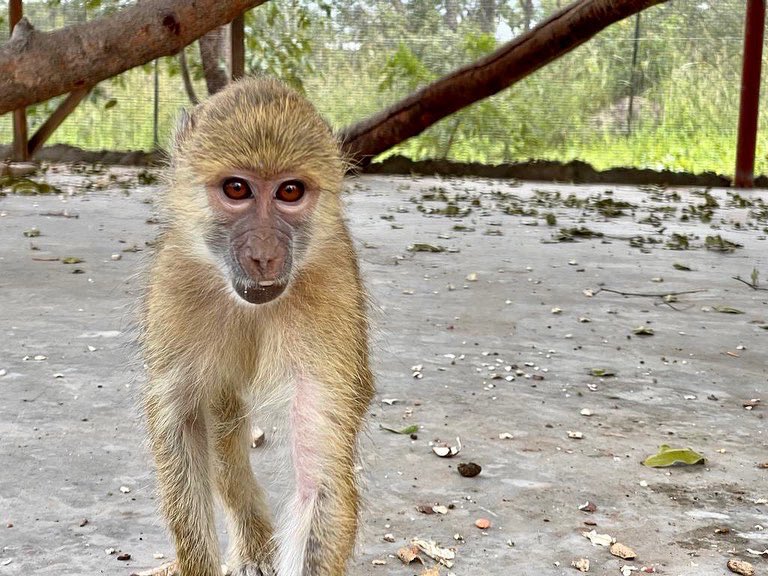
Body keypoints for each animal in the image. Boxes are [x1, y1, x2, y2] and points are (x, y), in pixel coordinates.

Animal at [140, 77, 374, 576]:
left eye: (289, 192)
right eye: (236, 189)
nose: (264, 255)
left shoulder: (333, 291)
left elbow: (318, 477)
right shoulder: (175, 281)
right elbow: (183, 419)